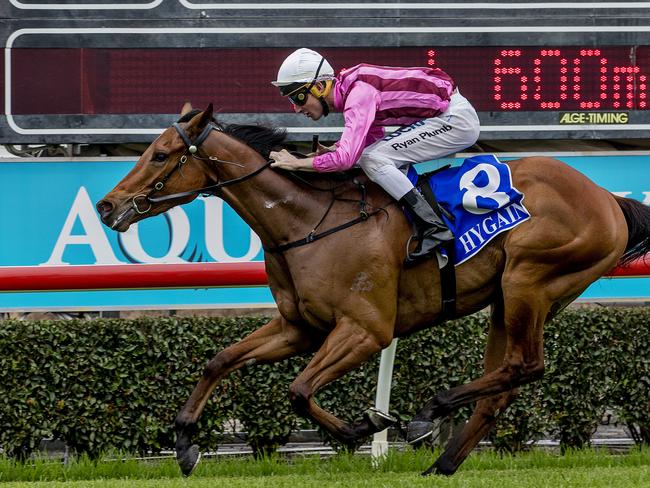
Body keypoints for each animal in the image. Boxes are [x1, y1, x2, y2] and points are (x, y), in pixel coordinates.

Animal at [96, 106, 648, 476]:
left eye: (160, 154)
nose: (106, 205)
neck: (307, 221)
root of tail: (608, 199)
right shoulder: (298, 327)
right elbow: (220, 360)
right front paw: (185, 442)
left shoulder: (365, 330)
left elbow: (299, 390)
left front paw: (364, 428)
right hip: (507, 299)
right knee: (506, 381)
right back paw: (441, 465)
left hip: (529, 280)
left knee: (526, 365)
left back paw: (429, 413)